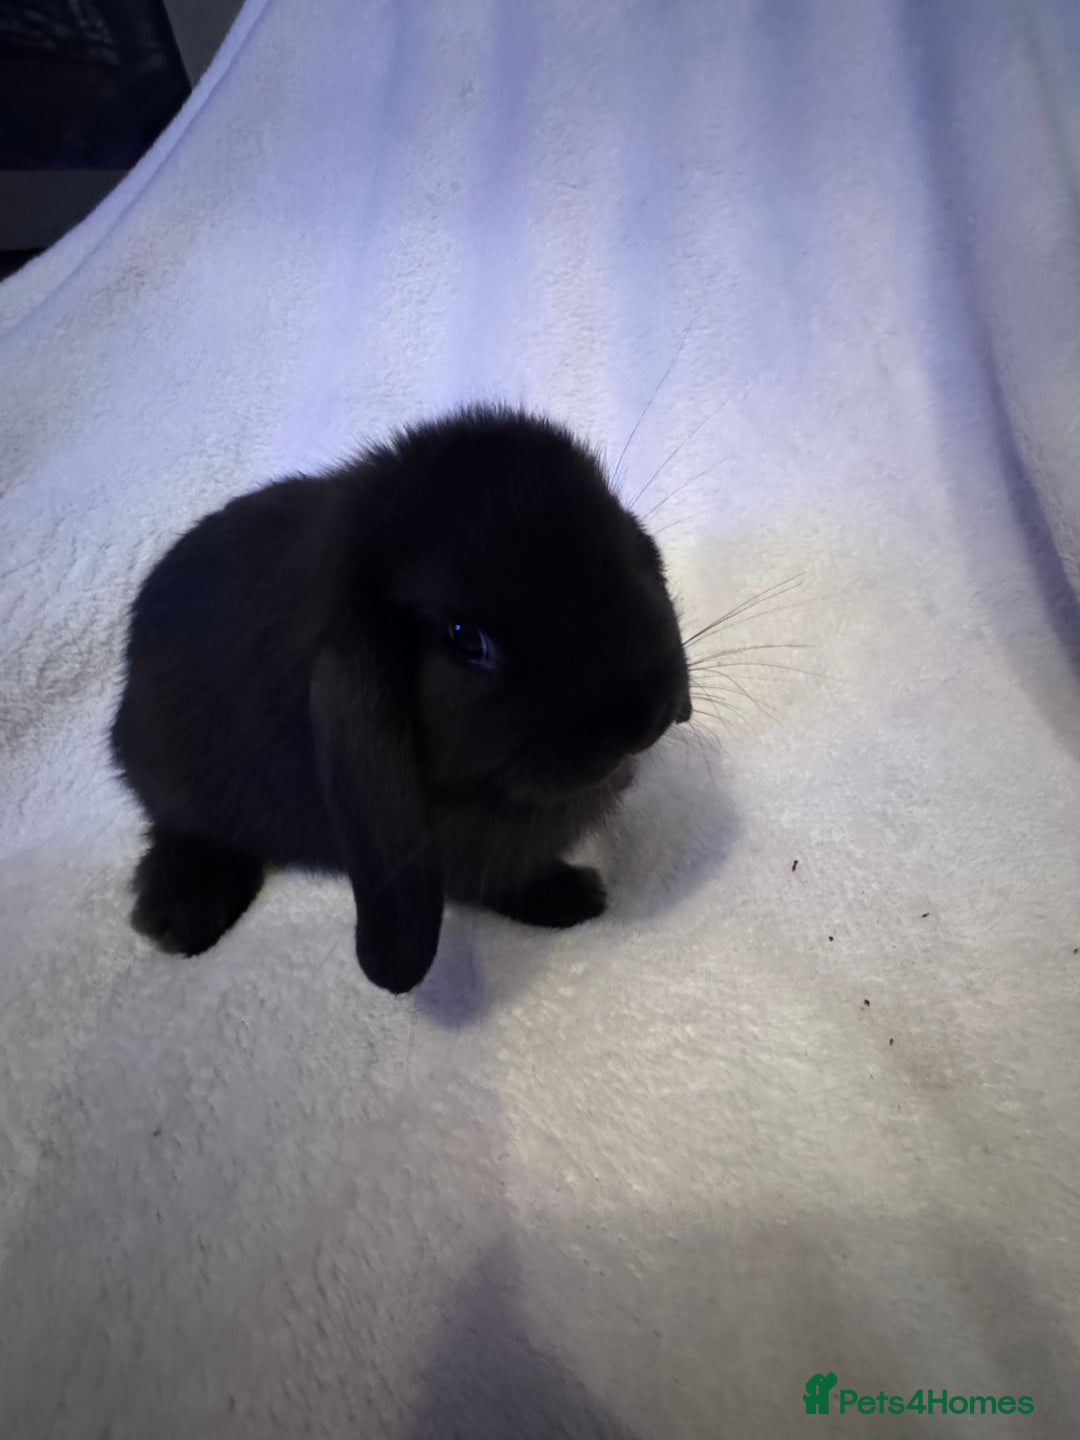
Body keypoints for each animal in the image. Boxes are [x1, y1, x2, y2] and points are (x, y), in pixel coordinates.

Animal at [110, 405, 693, 993]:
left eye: (626, 549)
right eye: (465, 638)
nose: (646, 718)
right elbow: (494, 881)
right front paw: (576, 899)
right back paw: (180, 917)